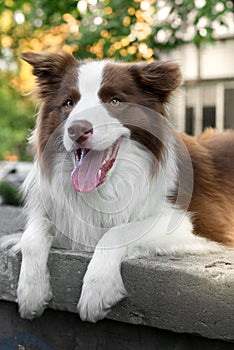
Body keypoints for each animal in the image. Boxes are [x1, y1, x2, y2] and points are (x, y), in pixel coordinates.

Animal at [2, 50, 234, 322]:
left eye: (115, 101)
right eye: (69, 103)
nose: (77, 130)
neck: (110, 183)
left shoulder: (197, 225)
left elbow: (118, 231)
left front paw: (97, 290)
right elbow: (32, 233)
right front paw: (31, 291)